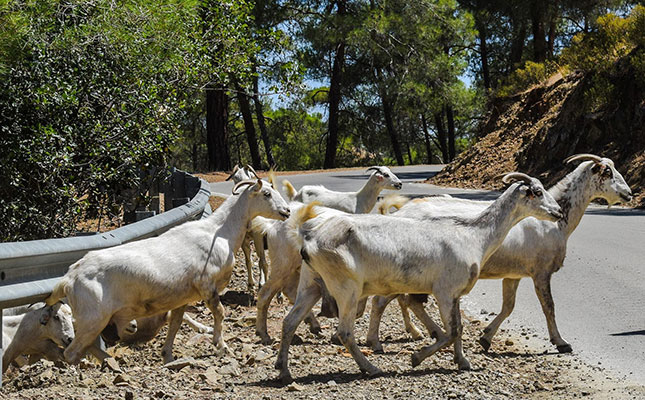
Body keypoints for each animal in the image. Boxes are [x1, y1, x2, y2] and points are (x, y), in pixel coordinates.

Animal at [48, 179, 292, 366]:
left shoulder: (182, 296)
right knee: (70, 352)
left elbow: (175, 323)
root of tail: (68, 278)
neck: (218, 232)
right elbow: (220, 314)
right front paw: (222, 346)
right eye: (266, 193)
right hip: (92, 318)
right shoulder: (207, 286)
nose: (287, 211)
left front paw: (167, 354)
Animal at [274, 172, 560, 382]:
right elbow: (450, 332)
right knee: (344, 332)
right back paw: (371, 368)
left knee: (289, 322)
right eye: (536, 192)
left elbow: (458, 329)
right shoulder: (444, 290)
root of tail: (310, 238)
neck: (474, 236)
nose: (557, 212)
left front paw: (462, 361)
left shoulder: (454, 293)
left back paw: (284, 370)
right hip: (346, 287)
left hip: (311, 283)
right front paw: (417, 358)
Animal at [364, 153, 632, 354]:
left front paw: (485, 338)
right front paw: (561, 342)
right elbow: (549, 307)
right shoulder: (541, 272)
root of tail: (398, 213)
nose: (629, 194)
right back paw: (378, 341)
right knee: (384, 300)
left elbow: (508, 307)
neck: (555, 223)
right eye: (607, 172)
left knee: (404, 300)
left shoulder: (513, 274)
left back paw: (423, 332)